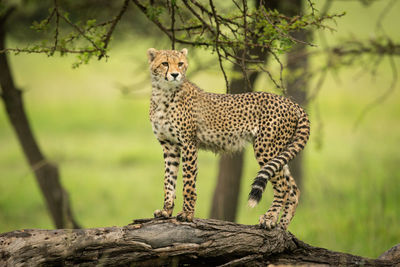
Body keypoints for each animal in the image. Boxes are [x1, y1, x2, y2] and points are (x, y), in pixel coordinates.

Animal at [146, 48, 310, 230]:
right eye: (165, 63)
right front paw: (166, 211)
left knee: (283, 186)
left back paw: (269, 218)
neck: (164, 92)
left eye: (180, 63)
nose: (175, 74)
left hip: (266, 148)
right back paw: (282, 226)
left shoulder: (189, 144)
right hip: (279, 151)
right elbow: (169, 180)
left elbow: (188, 183)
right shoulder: (170, 146)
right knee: (293, 189)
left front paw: (187, 214)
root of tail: (290, 102)